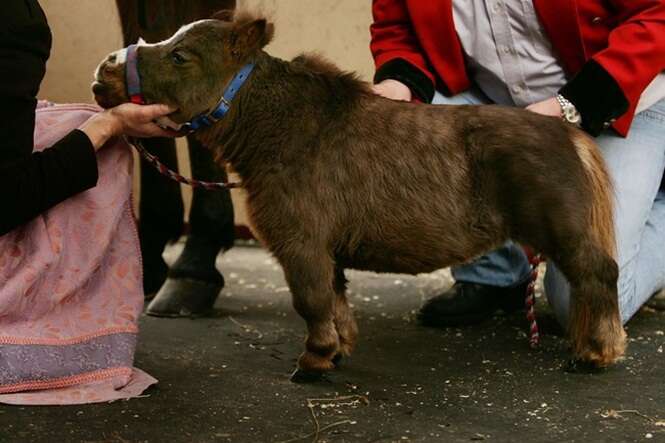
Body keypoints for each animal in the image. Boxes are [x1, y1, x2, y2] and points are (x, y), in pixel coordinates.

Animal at [92, 10, 624, 382]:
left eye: (180, 56)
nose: (104, 72)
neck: (281, 130)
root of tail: (570, 134)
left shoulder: (301, 244)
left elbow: (311, 301)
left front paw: (314, 361)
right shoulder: (327, 252)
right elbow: (335, 300)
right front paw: (338, 349)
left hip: (566, 237)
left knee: (598, 278)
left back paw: (597, 353)